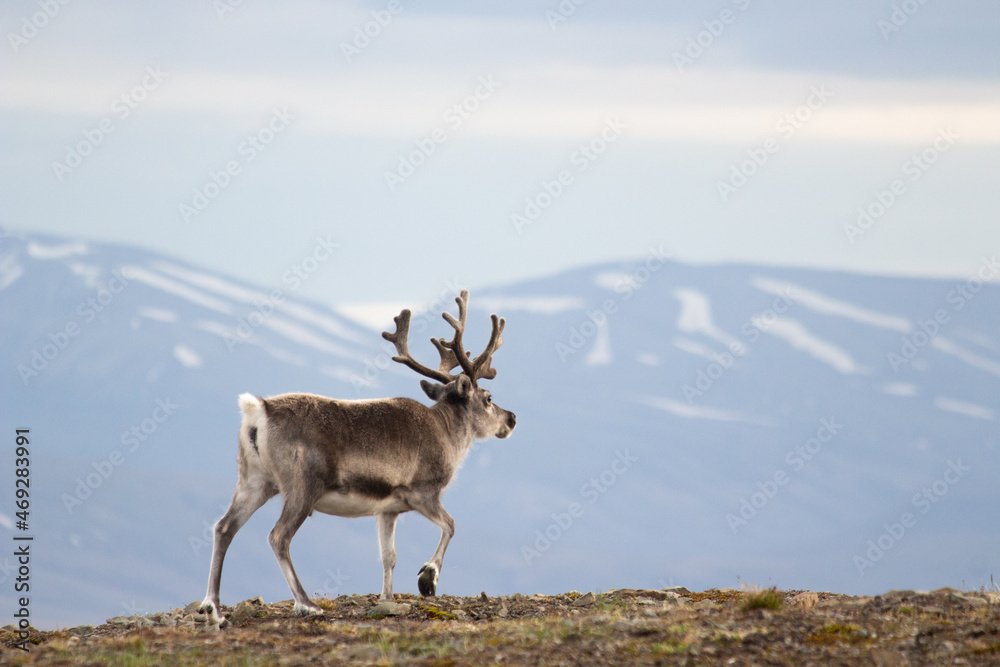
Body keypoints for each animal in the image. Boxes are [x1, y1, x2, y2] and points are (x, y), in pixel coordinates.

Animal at [199, 290, 516, 623]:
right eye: (489, 398)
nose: (512, 418)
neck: (447, 433)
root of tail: (258, 410)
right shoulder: (422, 492)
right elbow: (452, 525)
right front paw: (428, 579)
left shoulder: (389, 509)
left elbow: (389, 556)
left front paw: (387, 598)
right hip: (302, 487)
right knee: (278, 536)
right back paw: (305, 603)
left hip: (255, 481)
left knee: (223, 527)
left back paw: (213, 608)